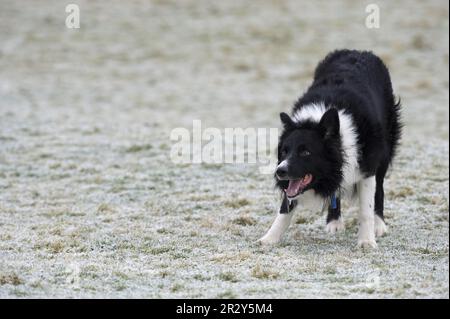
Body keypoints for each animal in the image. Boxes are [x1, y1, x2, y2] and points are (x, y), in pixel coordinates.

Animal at [258, 50, 402, 250]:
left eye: (305, 152)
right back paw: (334, 222)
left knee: (379, 189)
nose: (280, 171)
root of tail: (359, 51)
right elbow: (285, 209)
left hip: (384, 152)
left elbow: (366, 208)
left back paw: (379, 224)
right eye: (285, 152)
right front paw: (270, 238)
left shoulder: (367, 169)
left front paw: (366, 240)